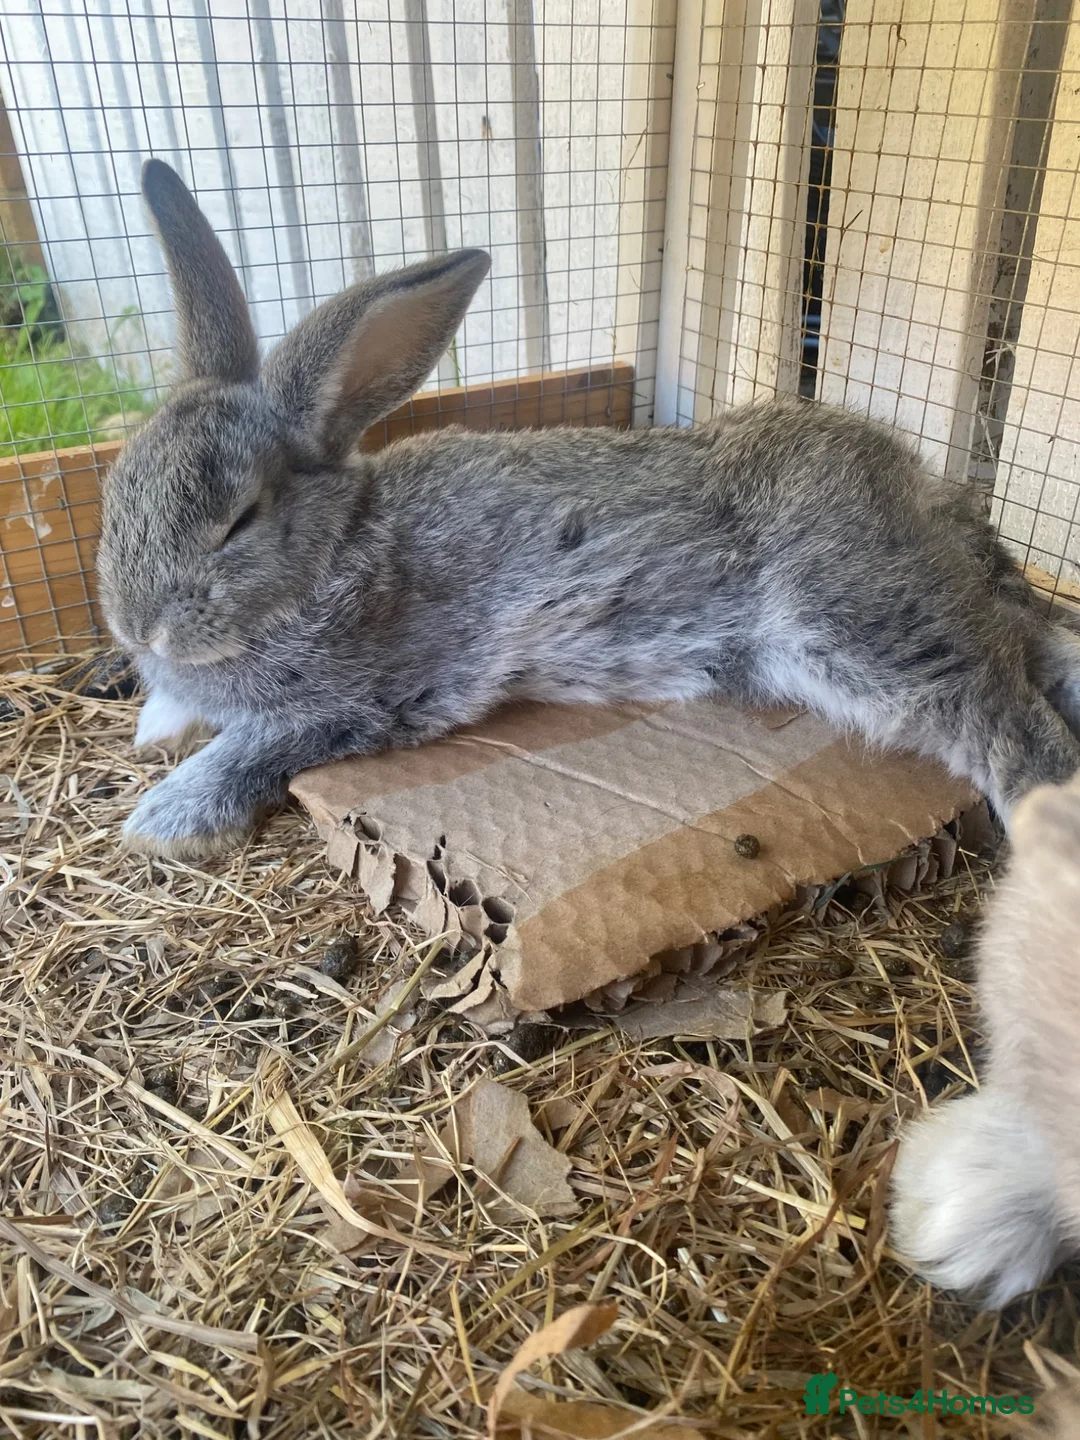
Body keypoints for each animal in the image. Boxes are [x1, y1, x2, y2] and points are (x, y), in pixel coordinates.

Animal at [97, 158, 1080, 860]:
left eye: (239, 520)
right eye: (115, 494)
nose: (139, 627)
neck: (334, 551)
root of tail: (927, 498)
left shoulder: (354, 702)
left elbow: (251, 748)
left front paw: (162, 818)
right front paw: (154, 725)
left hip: (857, 617)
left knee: (1004, 716)